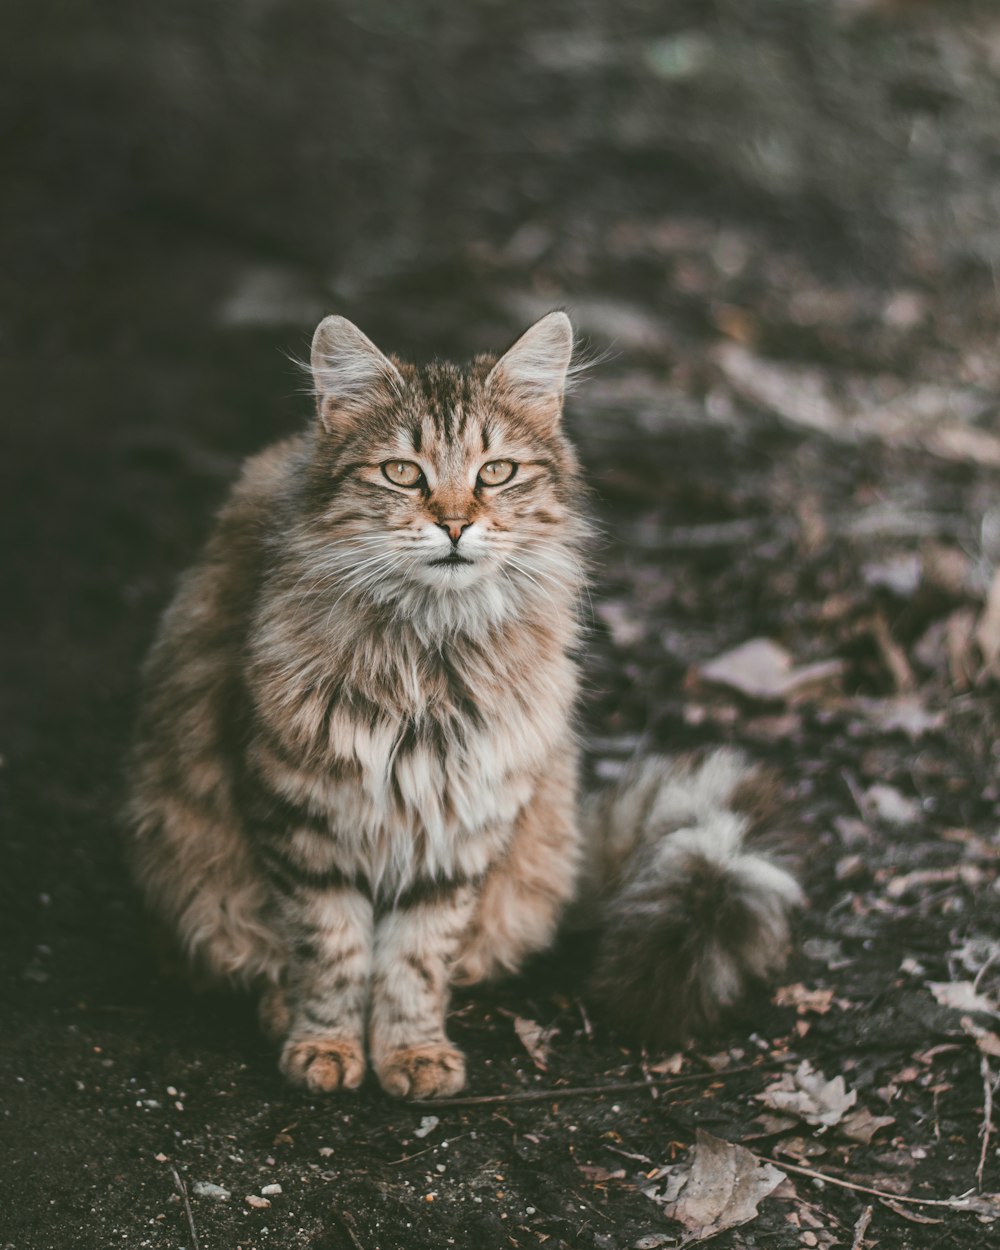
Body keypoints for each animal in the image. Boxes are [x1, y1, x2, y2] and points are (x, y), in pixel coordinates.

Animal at [125, 310, 800, 1095]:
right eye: (402, 472)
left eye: (495, 472)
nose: (453, 524)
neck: (433, 656)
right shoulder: (300, 813)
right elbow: (330, 950)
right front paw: (326, 1045)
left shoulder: (461, 821)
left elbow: (415, 959)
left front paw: (412, 1051)